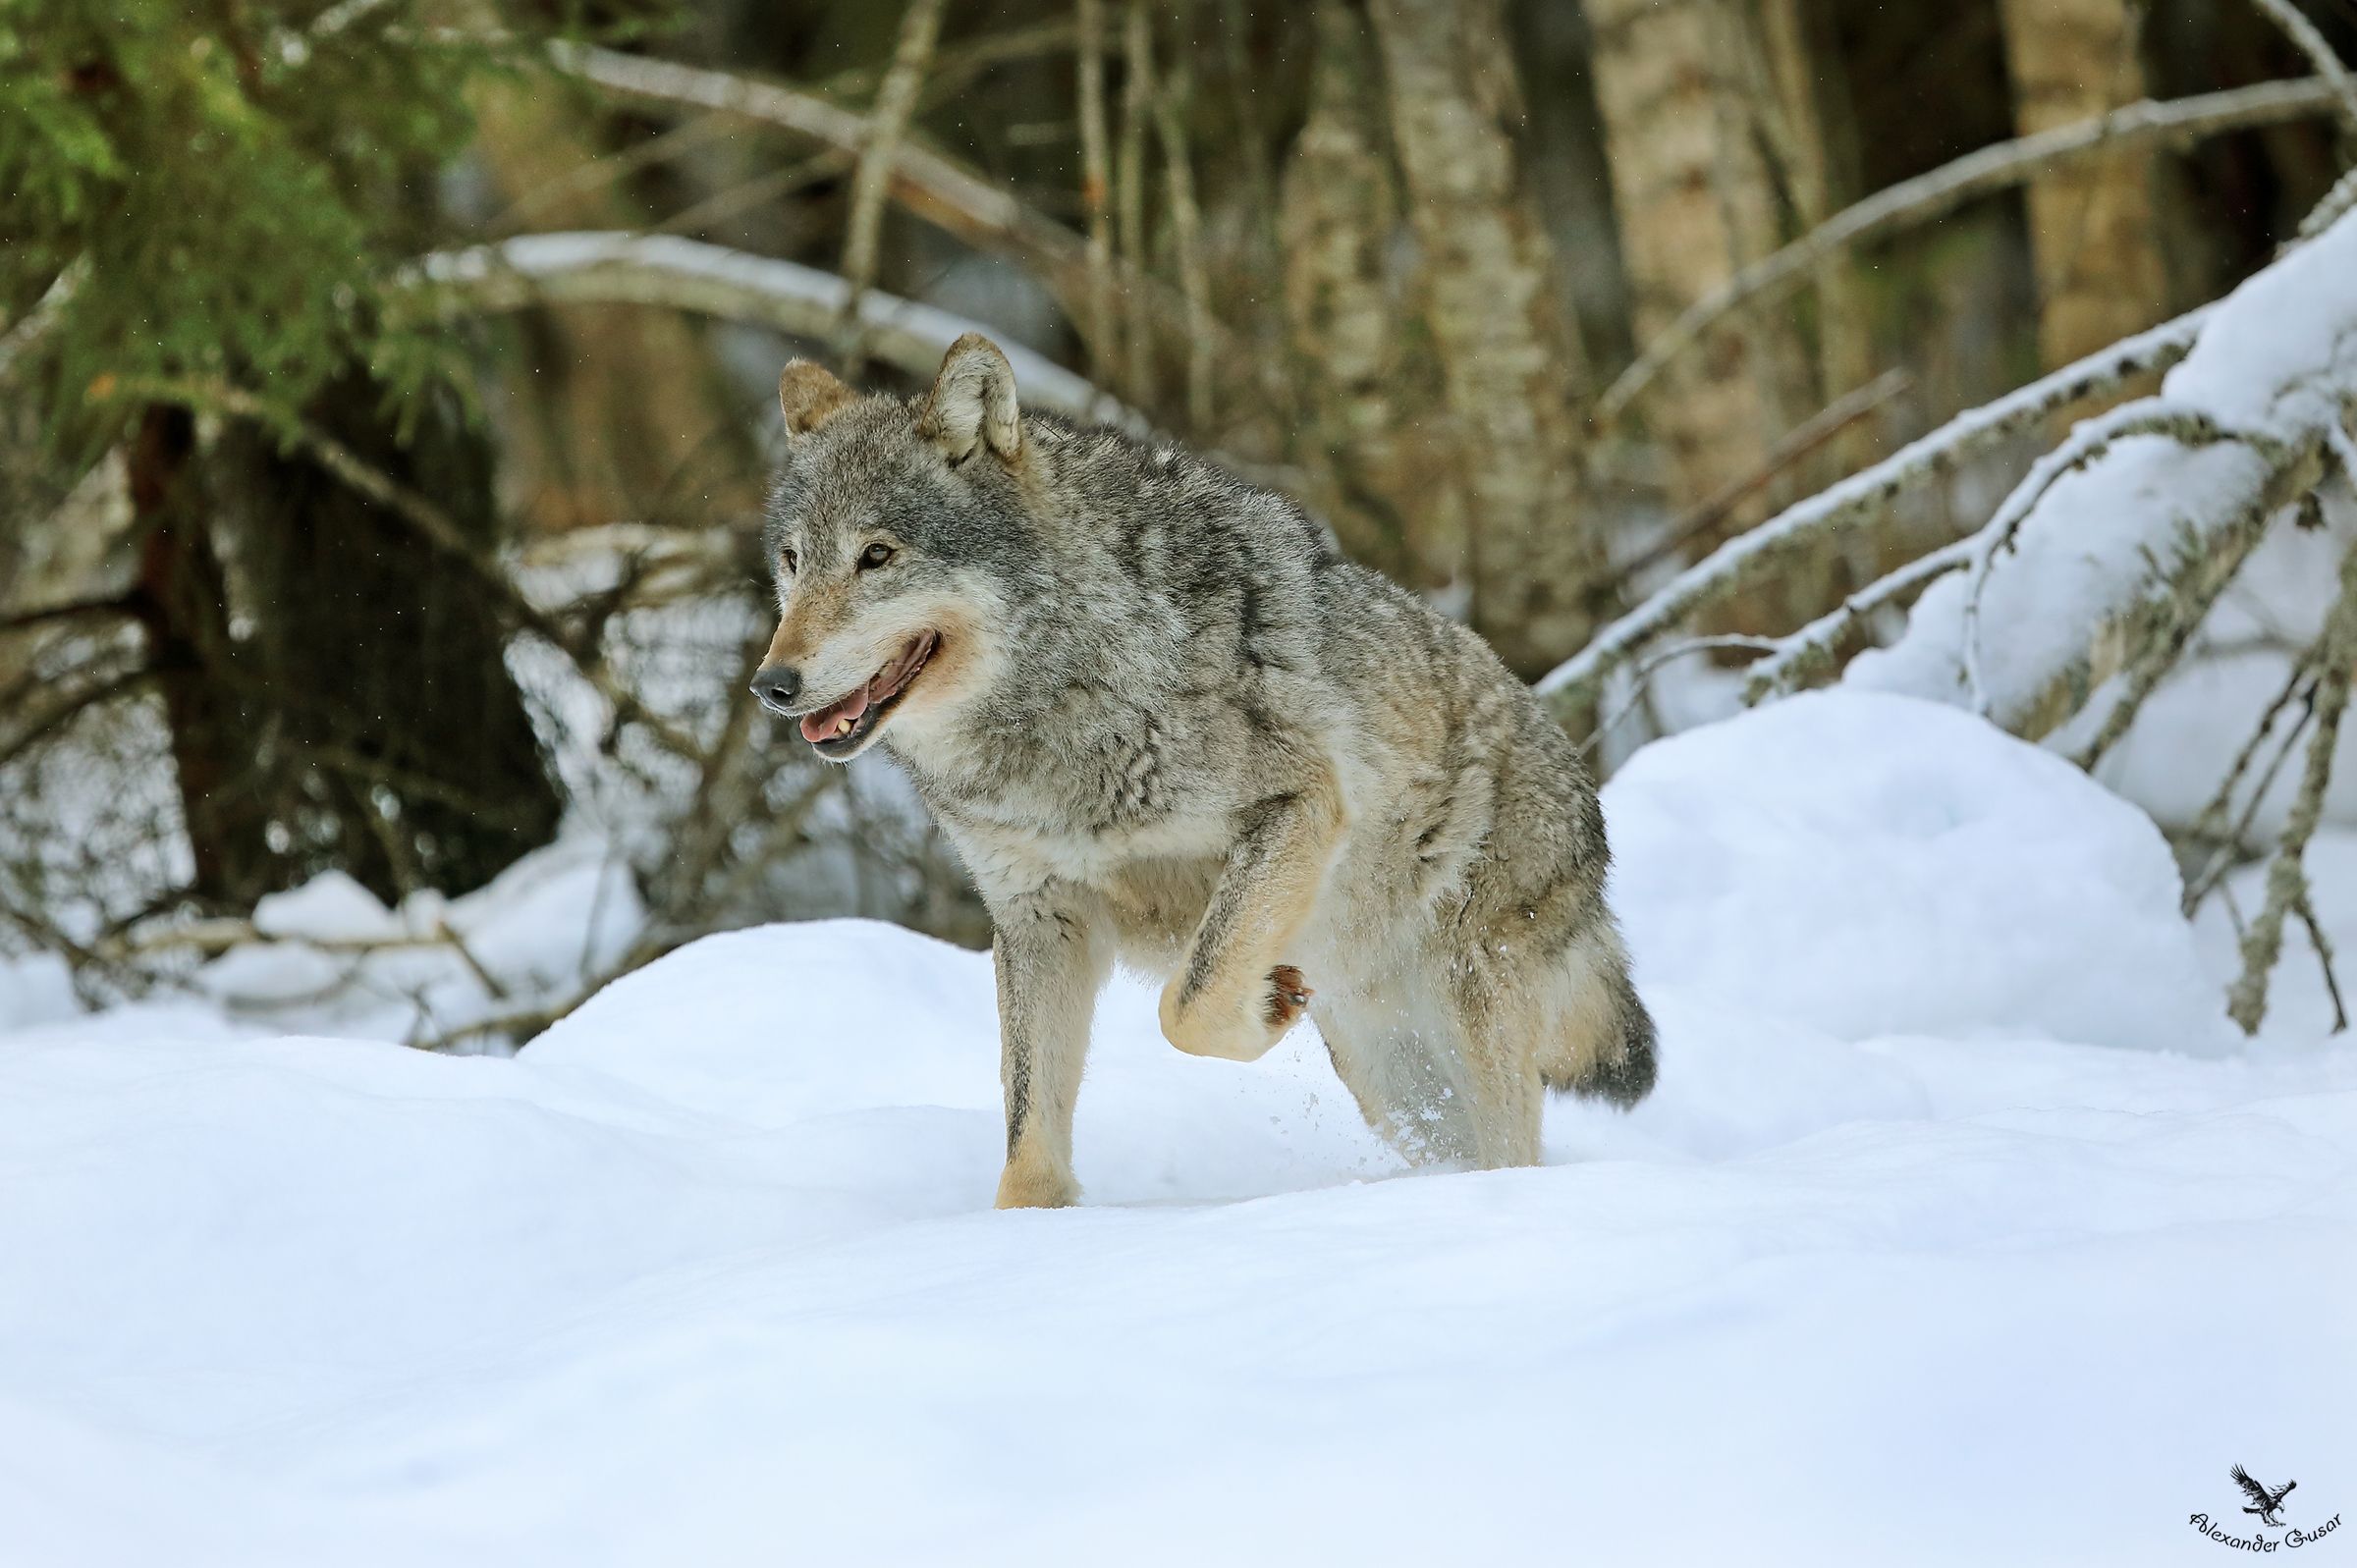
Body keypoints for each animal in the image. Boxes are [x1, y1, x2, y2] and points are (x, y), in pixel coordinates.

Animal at [754, 332, 1659, 1207]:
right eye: (794, 560)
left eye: (877, 555)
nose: (773, 684)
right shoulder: (1038, 916)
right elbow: (1028, 1147)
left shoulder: (1299, 802)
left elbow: (1183, 1006)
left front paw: (1261, 1009)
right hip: (1390, 1078)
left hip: (1469, 1011)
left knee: (1514, 1153)